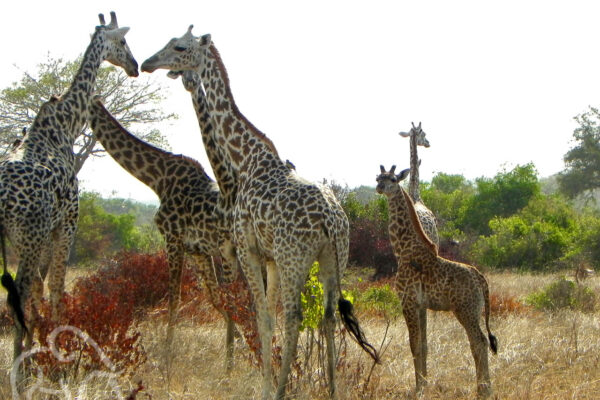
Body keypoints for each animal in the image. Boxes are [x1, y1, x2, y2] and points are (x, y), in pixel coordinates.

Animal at [85, 96, 238, 368]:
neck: (157, 179)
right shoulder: (198, 250)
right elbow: (215, 298)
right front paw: (239, 348)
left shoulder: (172, 239)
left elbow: (174, 299)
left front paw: (167, 360)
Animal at [141, 26, 378, 398]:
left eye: (178, 47)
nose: (148, 63)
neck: (245, 160)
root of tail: (330, 219)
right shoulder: (270, 258)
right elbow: (267, 316)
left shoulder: (247, 249)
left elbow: (263, 317)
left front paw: (266, 389)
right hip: (334, 256)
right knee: (328, 316)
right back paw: (332, 390)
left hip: (295, 256)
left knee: (294, 316)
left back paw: (283, 390)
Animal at [376, 164, 496, 398]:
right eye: (378, 177)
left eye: (393, 179)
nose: (379, 187)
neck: (402, 249)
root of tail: (482, 280)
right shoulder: (421, 305)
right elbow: (423, 344)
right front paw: (424, 382)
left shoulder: (408, 301)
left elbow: (413, 344)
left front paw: (419, 388)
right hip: (473, 311)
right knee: (481, 341)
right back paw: (483, 388)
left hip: (466, 310)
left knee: (479, 341)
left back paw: (483, 390)